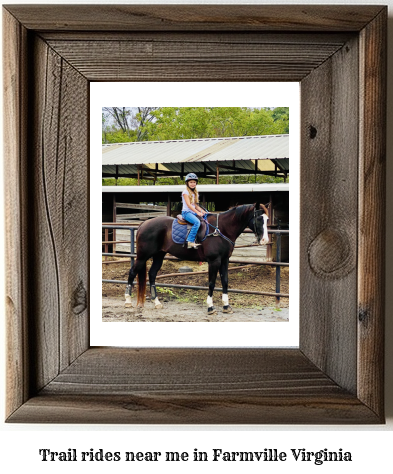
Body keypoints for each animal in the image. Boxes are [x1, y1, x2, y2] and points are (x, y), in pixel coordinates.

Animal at [124, 202, 268, 312]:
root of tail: (143, 224)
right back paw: (127, 301)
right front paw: (210, 307)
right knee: (132, 273)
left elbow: (225, 281)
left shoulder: (225, 260)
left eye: (267, 219)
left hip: (159, 256)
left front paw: (226, 306)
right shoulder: (214, 261)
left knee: (152, 274)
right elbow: (211, 283)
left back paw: (157, 302)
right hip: (142, 256)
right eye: (259, 219)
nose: (265, 240)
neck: (221, 229)